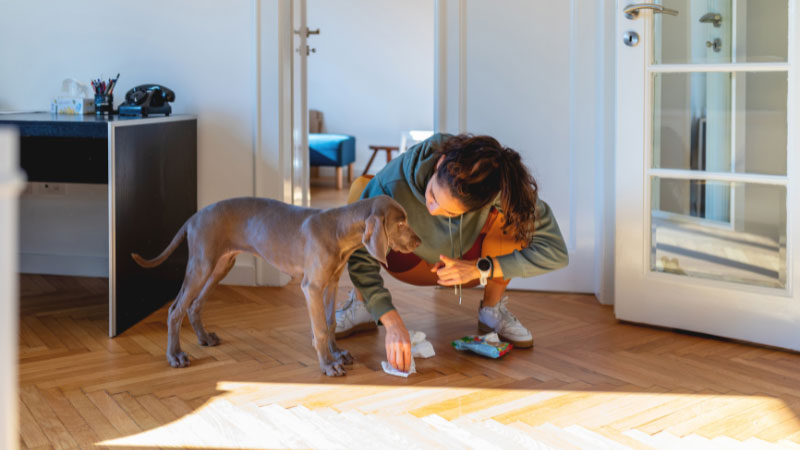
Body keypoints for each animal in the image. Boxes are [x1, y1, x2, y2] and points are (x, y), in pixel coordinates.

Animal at [133, 195, 418, 374]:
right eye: (401, 222)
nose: (419, 241)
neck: (338, 228)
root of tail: (193, 218)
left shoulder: (331, 283)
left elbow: (330, 322)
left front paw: (337, 354)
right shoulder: (312, 286)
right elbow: (320, 328)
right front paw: (328, 364)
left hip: (220, 265)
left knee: (194, 305)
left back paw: (204, 338)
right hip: (202, 265)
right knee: (176, 309)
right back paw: (175, 356)